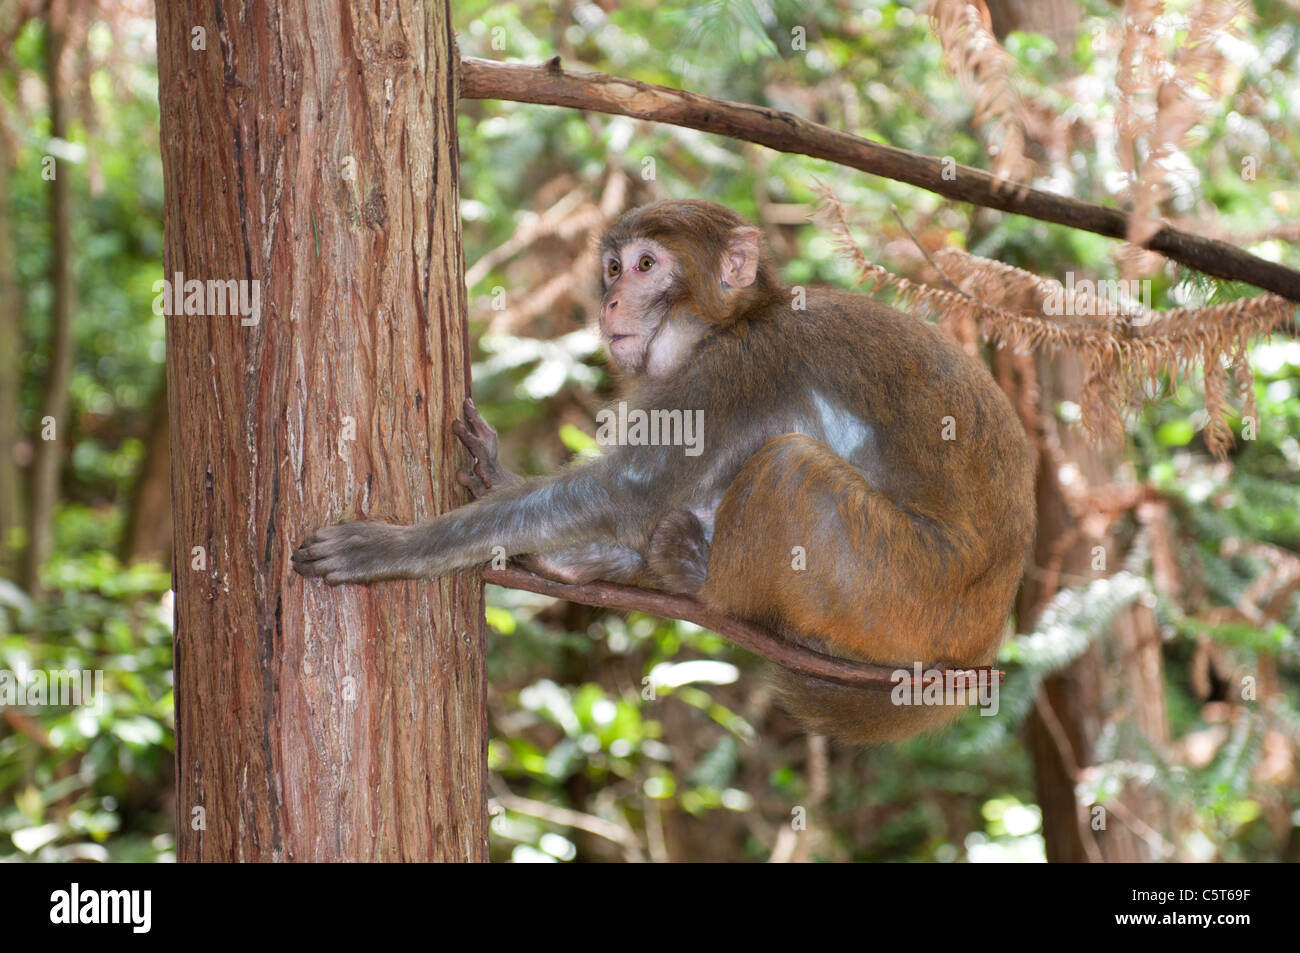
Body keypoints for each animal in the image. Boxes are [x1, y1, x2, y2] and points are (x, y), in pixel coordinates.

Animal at [295, 198, 1034, 743]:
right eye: (612, 267)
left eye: (646, 265)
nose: (609, 302)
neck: (729, 322)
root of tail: (982, 645)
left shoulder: (738, 368)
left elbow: (631, 490)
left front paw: (392, 548)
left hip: (907, 592)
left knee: (789, 467)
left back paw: (701, 579)